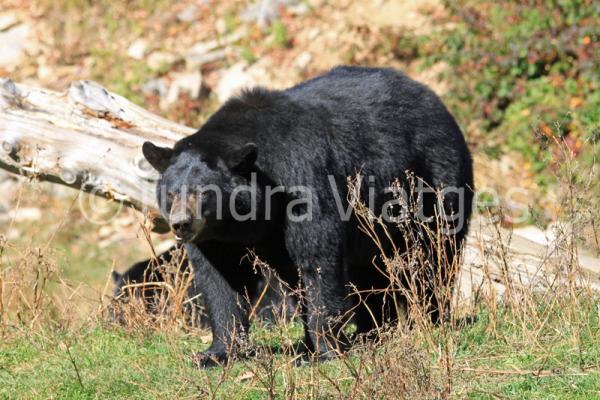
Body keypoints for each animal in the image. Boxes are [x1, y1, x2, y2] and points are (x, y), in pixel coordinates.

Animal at [142, 67, 474, 368]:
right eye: (171, 194)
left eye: (202, 193)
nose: (181, 224)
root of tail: (434, 98)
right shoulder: (221, 236)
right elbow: (220, 276)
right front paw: (216, 353)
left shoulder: (302, 180)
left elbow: (317, 260)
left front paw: (322, 352)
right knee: (370, 272)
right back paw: (373, 331)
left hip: (432, 182)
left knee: (434, 256)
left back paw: (430, 318)